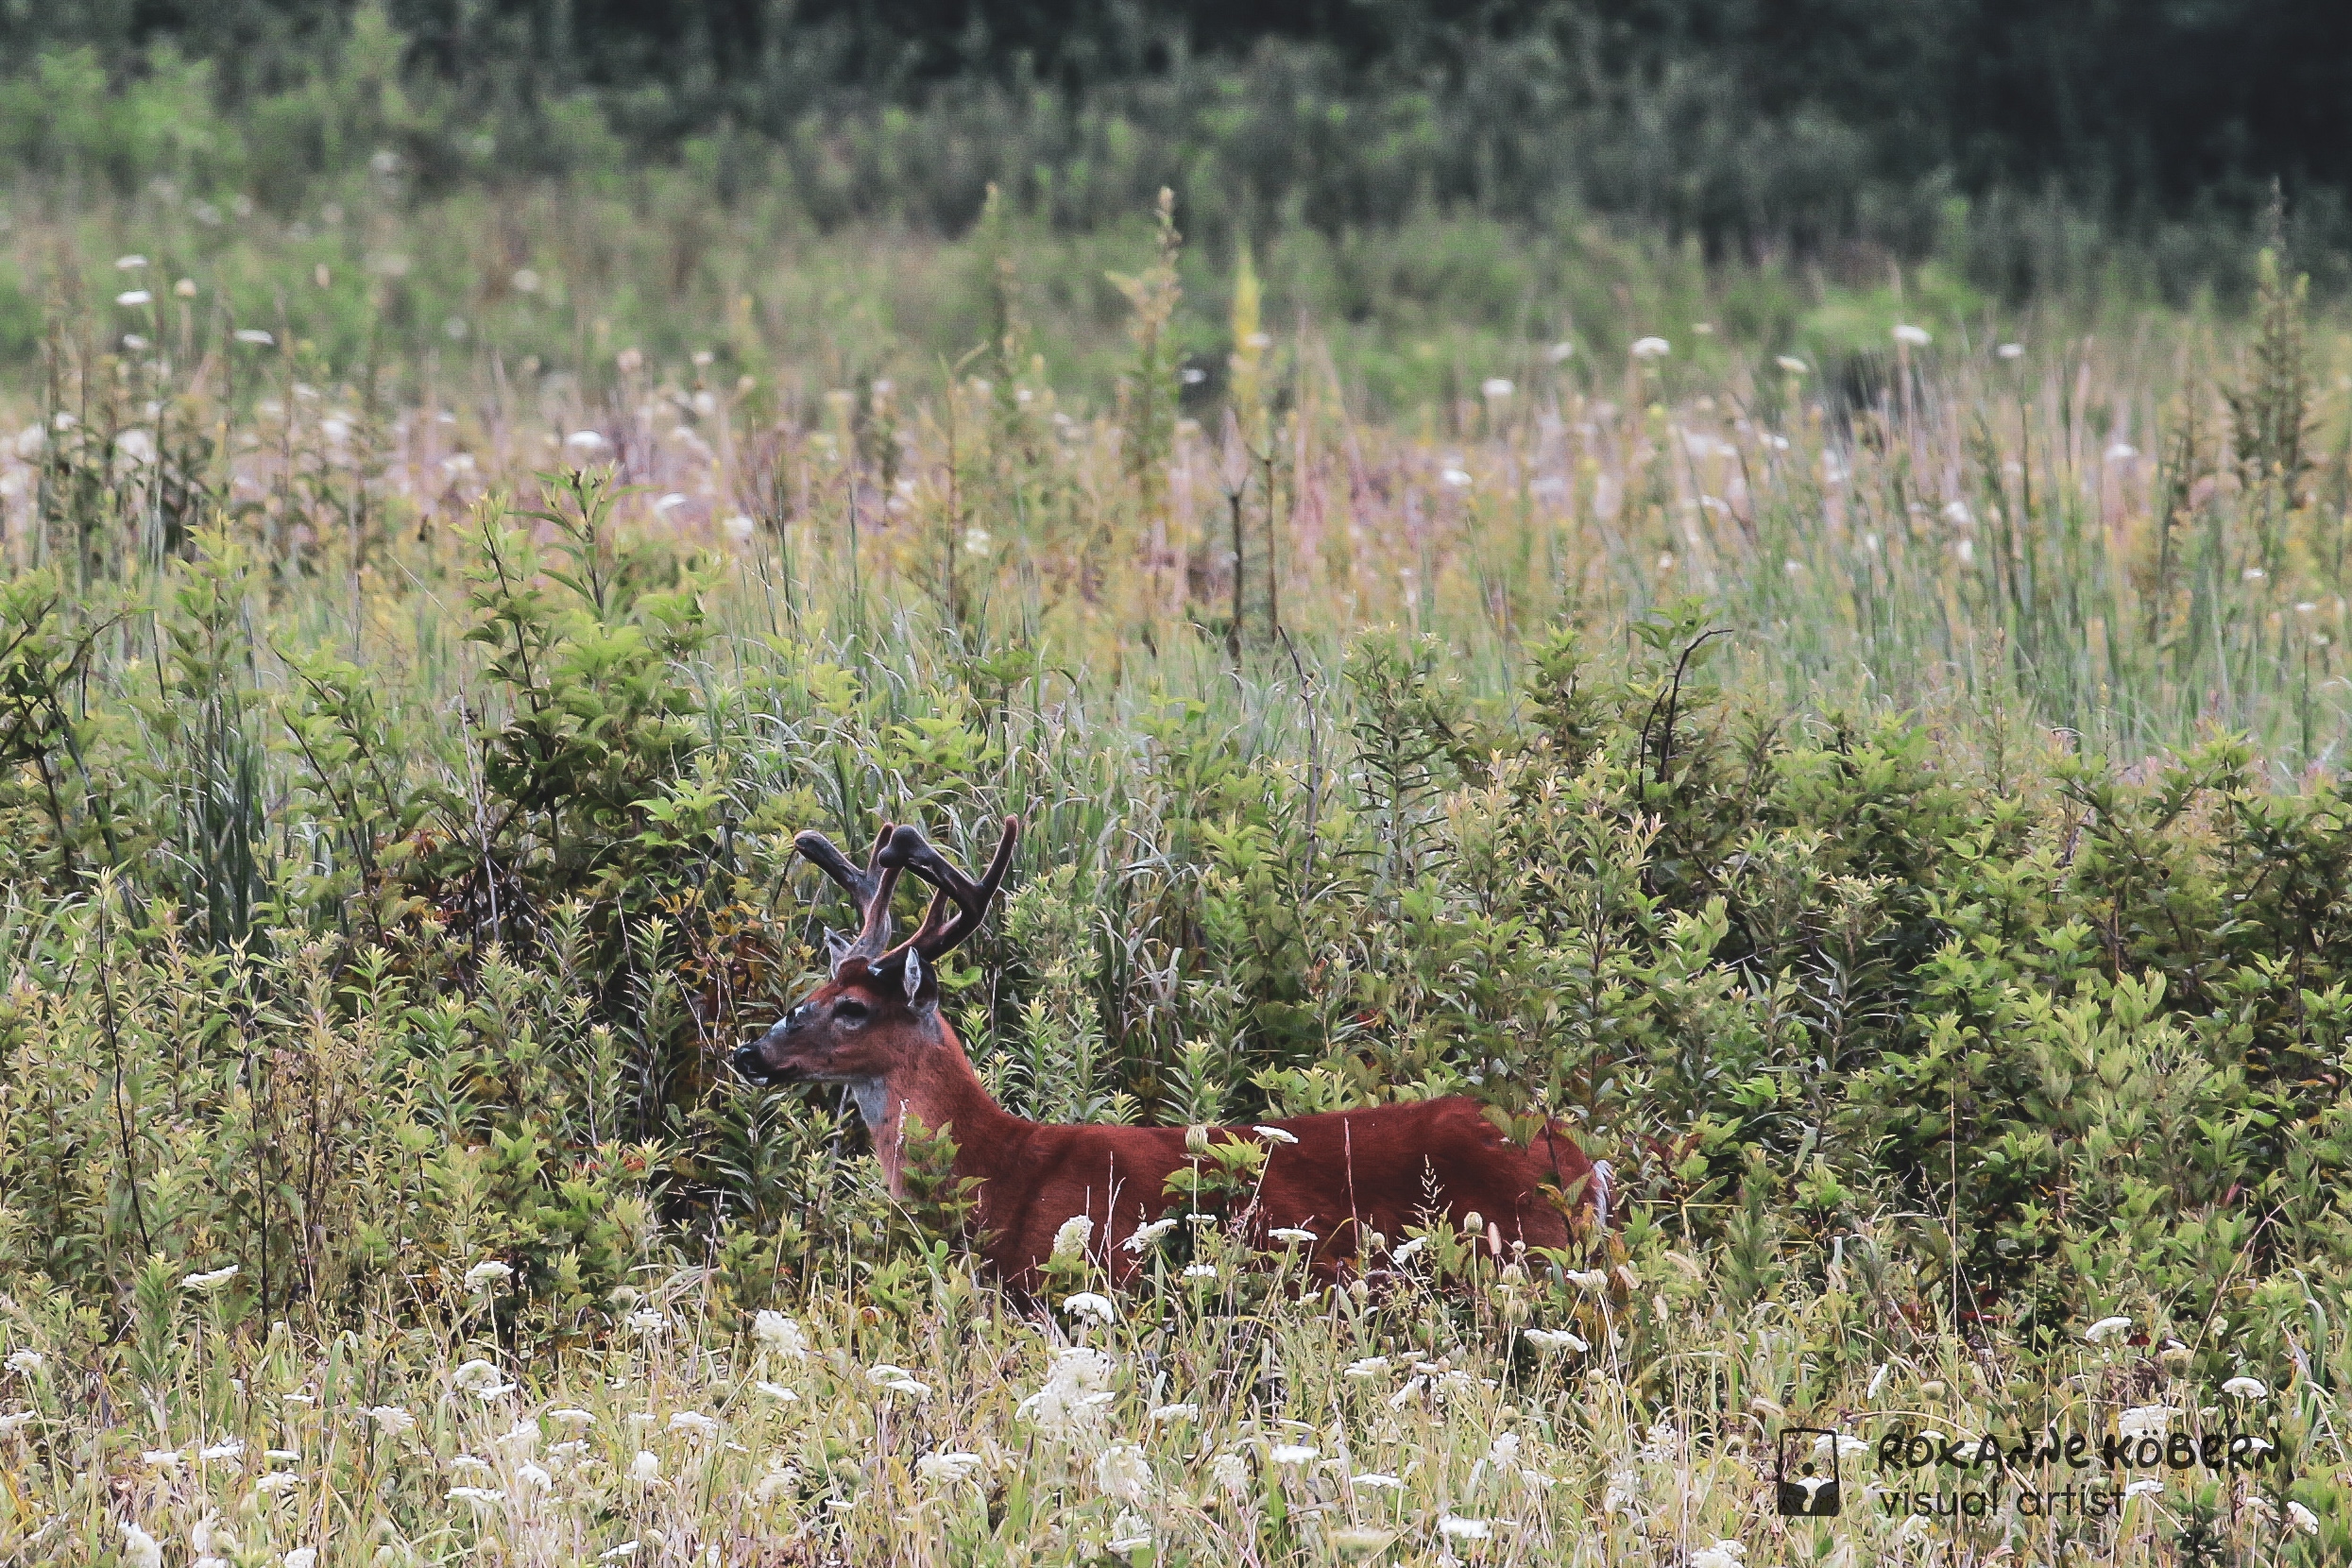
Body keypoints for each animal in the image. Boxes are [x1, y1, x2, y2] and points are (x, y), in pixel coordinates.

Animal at [733, 818, 1618, 1297]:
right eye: (815, 985)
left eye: (851, 1008)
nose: (750, 1050)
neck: (999, 1172)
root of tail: (1580, 1159)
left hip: (1518, 1255)